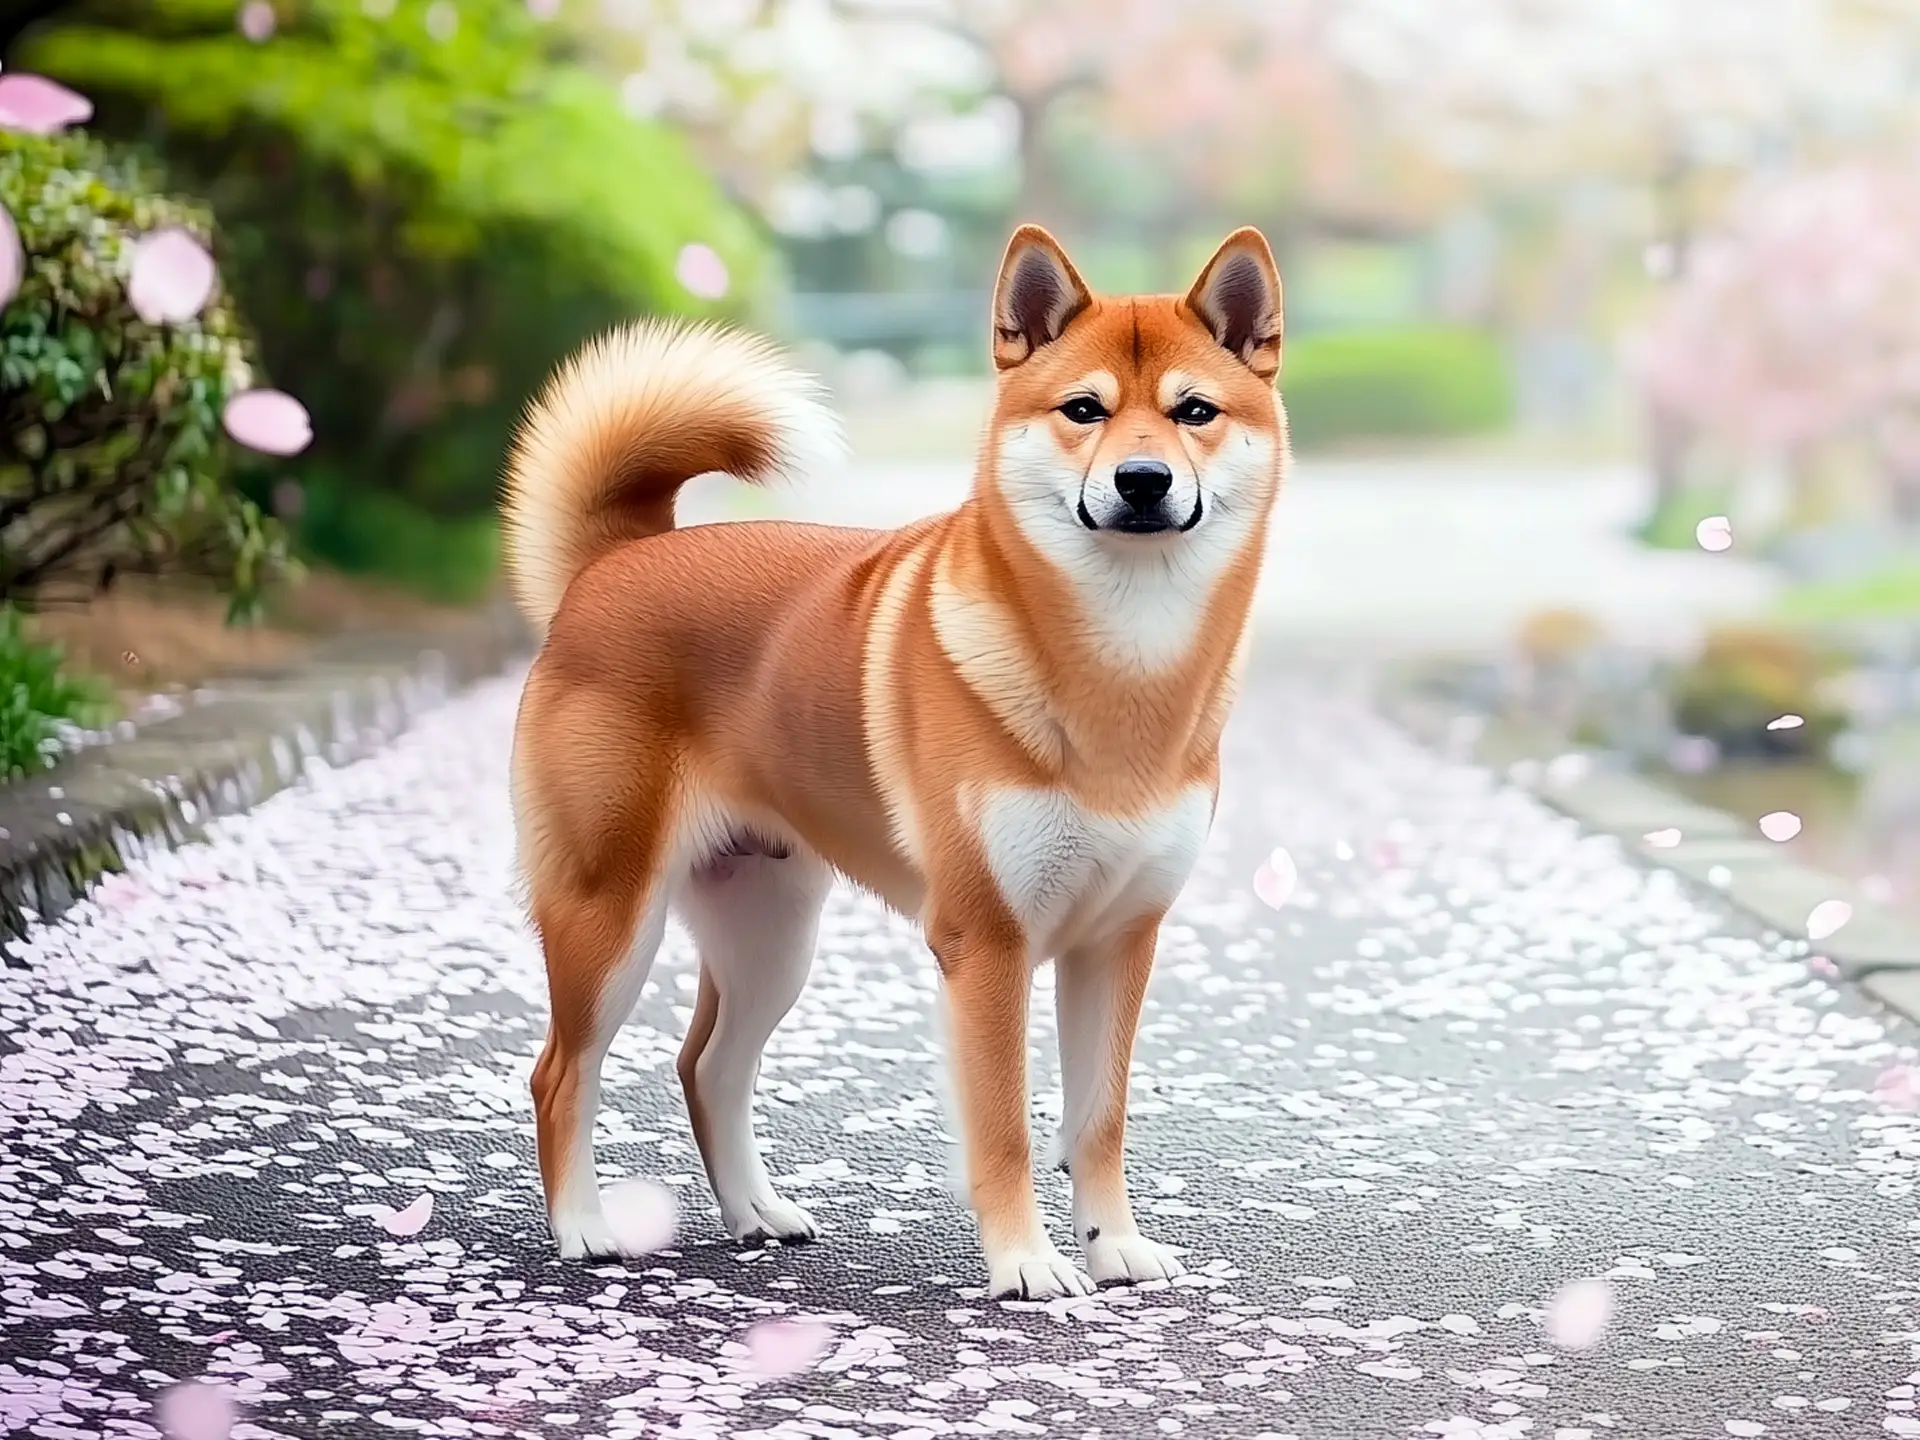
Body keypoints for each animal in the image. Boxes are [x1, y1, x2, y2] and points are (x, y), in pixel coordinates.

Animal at [503, 225, 1290, 1305]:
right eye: (1083, 409)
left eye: (1195, 412)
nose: (1141, 480)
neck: (1121, 672)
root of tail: (611, 563)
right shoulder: (987, 944)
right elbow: (1004, 1129)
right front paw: (1026, 1262)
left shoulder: (1119, 941)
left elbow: (1099, 1120)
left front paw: (1114, 1245)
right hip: (609, 917)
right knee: (559, 1073)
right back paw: (583, 1227)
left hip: (770, 937)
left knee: (707, 1067)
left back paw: (757, 1212)